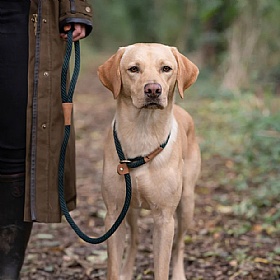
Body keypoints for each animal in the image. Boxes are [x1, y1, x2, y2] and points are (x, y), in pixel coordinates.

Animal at [97, 43, 200, 280]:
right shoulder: (113, 213)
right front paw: (120, 272)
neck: (142, 133)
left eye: (166, 68)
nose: (153, 89)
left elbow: (162, 266)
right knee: (135, 240)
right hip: (130, 211)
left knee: (179, 245)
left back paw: (179, 274)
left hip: (187, 202)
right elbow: (113, 267)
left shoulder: (164, 218)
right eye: (134, 69)